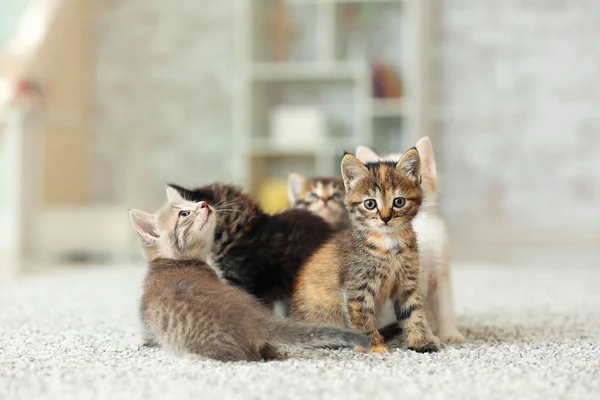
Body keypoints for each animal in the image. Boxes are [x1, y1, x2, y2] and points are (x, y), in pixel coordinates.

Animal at [292, 149, 440, 354]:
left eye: (399, 201)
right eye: (370, 204)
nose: (385, 218)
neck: (389, 242)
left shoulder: (406, 282)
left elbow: (413, 311)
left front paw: (421, 342)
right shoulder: (357, 286)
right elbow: (361, 314)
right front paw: (373, 346)